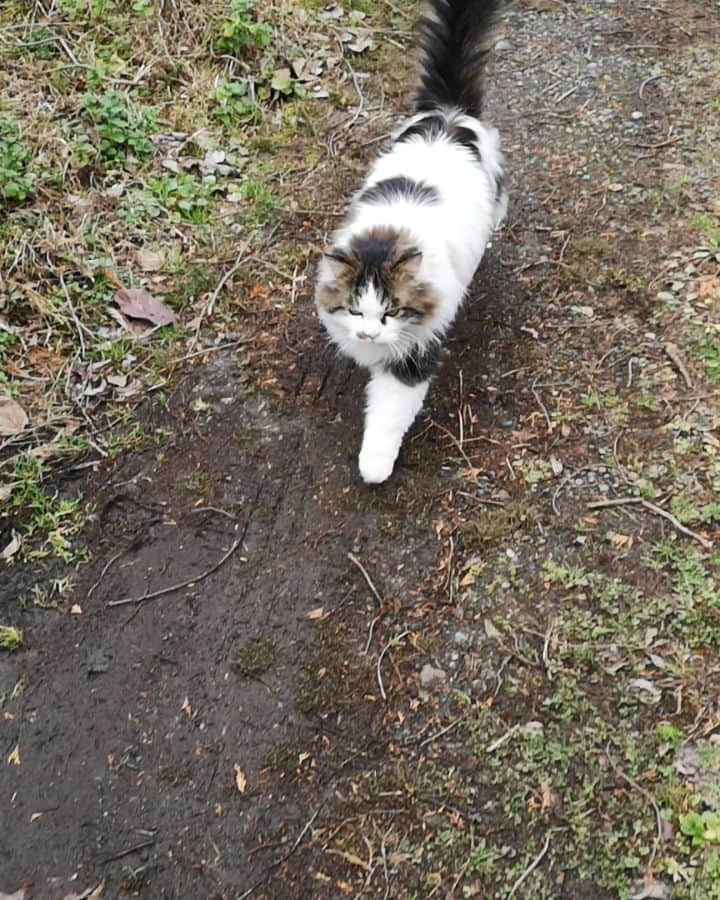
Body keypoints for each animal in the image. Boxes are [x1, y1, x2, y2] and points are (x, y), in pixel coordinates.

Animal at [316, 0, 506, 486]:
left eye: (391, 312)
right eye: (354, 312)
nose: (367, 333)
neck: (387, 234)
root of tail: (449, 114)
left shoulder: (413, 353)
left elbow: (387, 416)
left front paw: (374, 467)